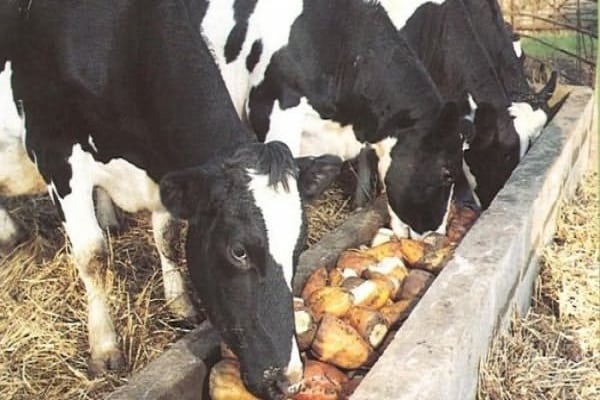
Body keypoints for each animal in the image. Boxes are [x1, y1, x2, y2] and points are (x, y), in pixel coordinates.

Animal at [0, 1, 344, 398]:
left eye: (299, 246)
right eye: (238, 251)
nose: (287, 379)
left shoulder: (163, 169)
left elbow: (167, 237)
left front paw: (180, 303)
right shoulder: (56, 154)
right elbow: (93, 256)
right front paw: (104, 347)